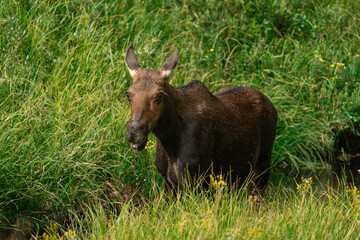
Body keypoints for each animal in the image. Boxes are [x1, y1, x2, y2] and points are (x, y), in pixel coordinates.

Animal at [125, 45, 278, 197]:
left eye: (160, 94)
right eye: (128, 93)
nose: (135, 131)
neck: (169, 141)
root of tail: (272, 105)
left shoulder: (196, 182)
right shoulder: (169, 183)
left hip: (262, 168)